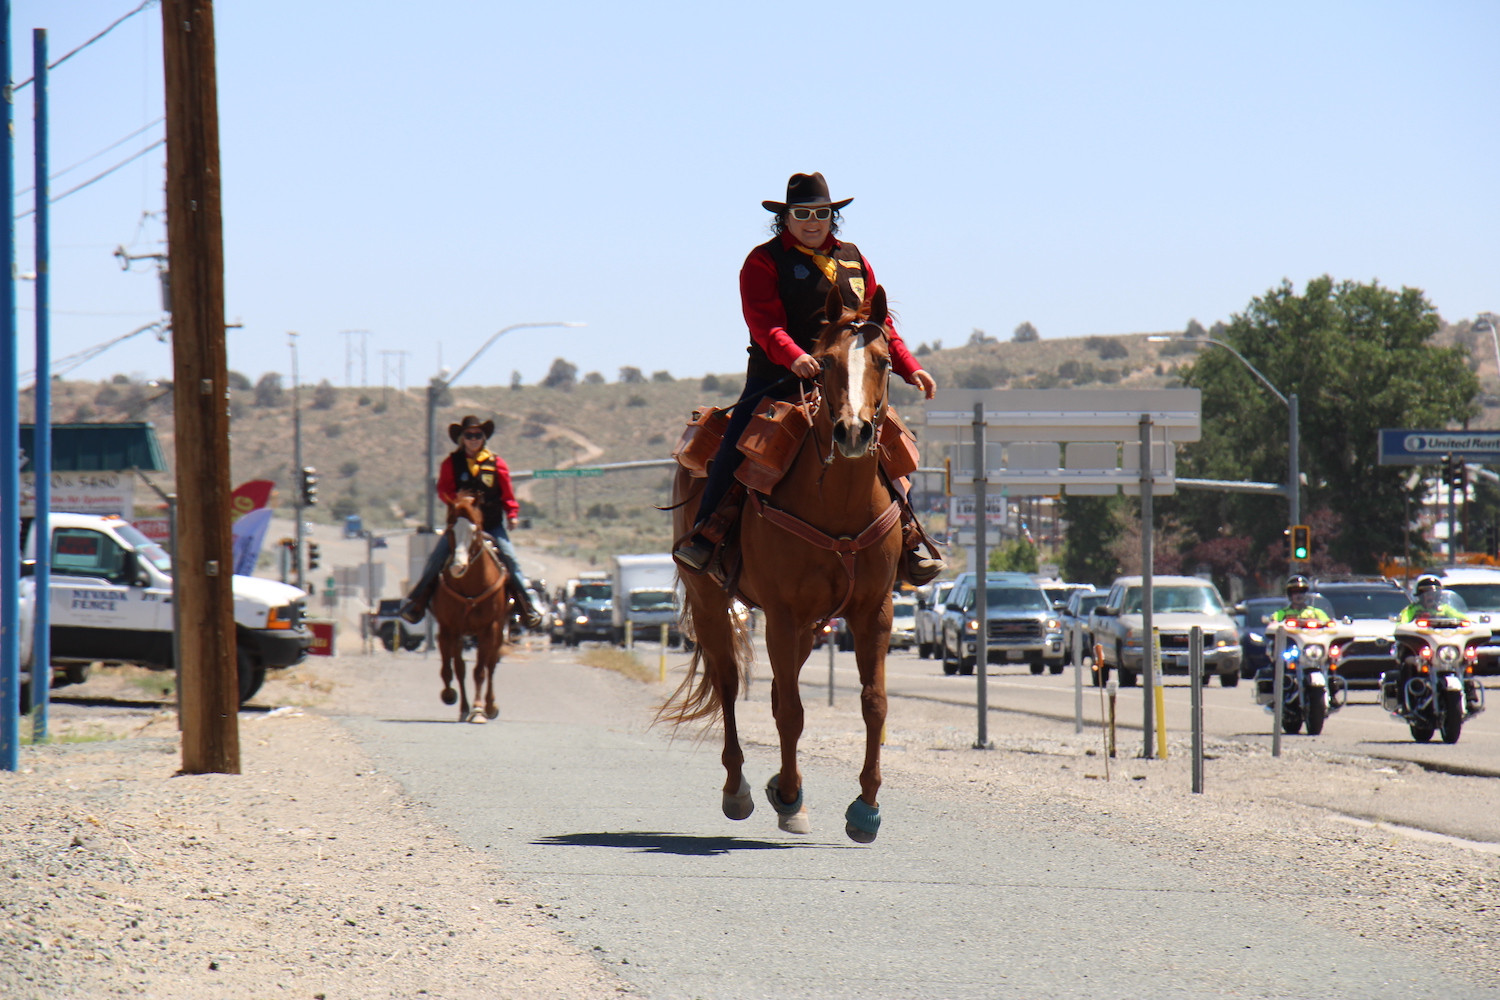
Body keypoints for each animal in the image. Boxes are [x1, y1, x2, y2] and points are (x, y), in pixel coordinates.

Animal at [432, 491, 513, 719]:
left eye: (475, 529)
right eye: (450, 528)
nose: (458, 567)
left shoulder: (488, 629)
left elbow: (480, 670)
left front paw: (478, 710)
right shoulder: (448, 629)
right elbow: (450, 668)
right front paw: (450, 695)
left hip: (498, 630)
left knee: (491, 665)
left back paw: (489, 706)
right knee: (460, 668)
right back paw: (463, 708)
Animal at [660, 281, 894, 845]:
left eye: (883, 360)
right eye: (826, 362)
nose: (853, 432)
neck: (839, 502)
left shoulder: (873, 611)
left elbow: (873, 703)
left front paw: (866, 808)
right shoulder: (783, 614)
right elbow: (790, 710)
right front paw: (790, 797)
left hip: (809, 626)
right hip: (711, 601)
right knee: (728, 682)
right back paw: (740, 789)